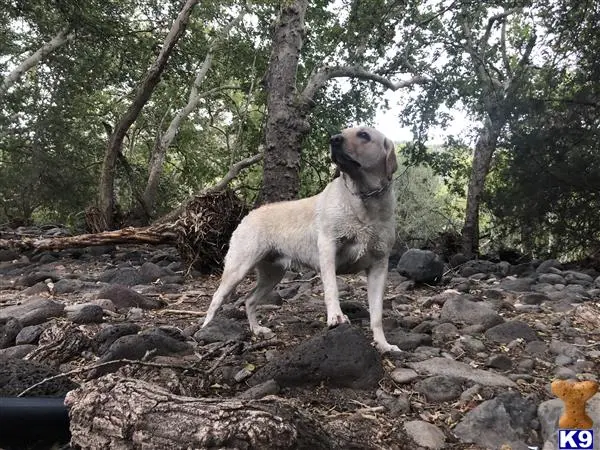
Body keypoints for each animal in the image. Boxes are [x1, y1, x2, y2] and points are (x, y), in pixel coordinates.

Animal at [203, 126, 404, 356]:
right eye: (344, 132)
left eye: (364, 135)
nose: (334, 139)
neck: (363, 200)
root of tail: (249, 215)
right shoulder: (328, 248)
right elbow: (332, 288)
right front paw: (336, 317)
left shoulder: (379, 265)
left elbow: (377, 314)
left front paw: (383, 344)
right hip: (238, 268)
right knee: (217, 297)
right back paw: (205, 328)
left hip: (273, 274)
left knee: (249, 300)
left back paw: (257, 329)